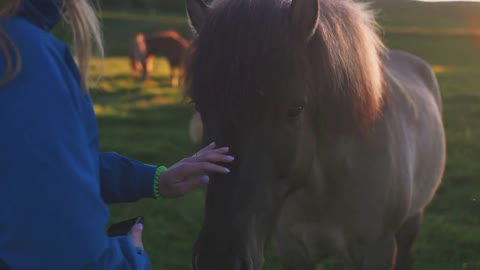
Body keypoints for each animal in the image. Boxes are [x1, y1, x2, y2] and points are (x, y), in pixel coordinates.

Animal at [185, 0, 446, 268]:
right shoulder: (293, 251)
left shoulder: (378, 251)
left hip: (413, 219)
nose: (218, 259)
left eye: (295, 109)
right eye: (199, 105)